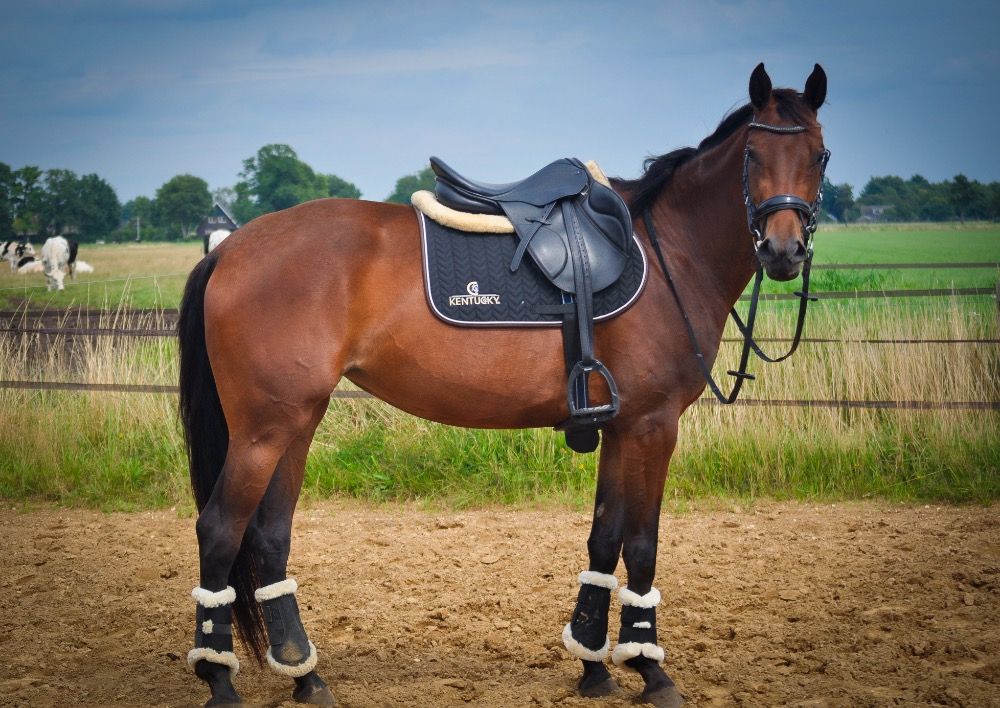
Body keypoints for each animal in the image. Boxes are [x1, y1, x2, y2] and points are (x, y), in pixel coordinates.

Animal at [177, 63, 828, 707]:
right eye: (752, 154)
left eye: (819, 156)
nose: (783, 250)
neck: (670, 250)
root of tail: (230, 249)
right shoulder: (653, 427)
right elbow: (642, 546)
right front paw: (650, 669)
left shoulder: (621, 428)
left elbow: (604, 539)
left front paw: (593, 665)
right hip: (264, 430)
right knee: (219, 530)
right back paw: (219, 679)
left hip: (298, 419)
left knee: (269, 537)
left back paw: (305, 676)